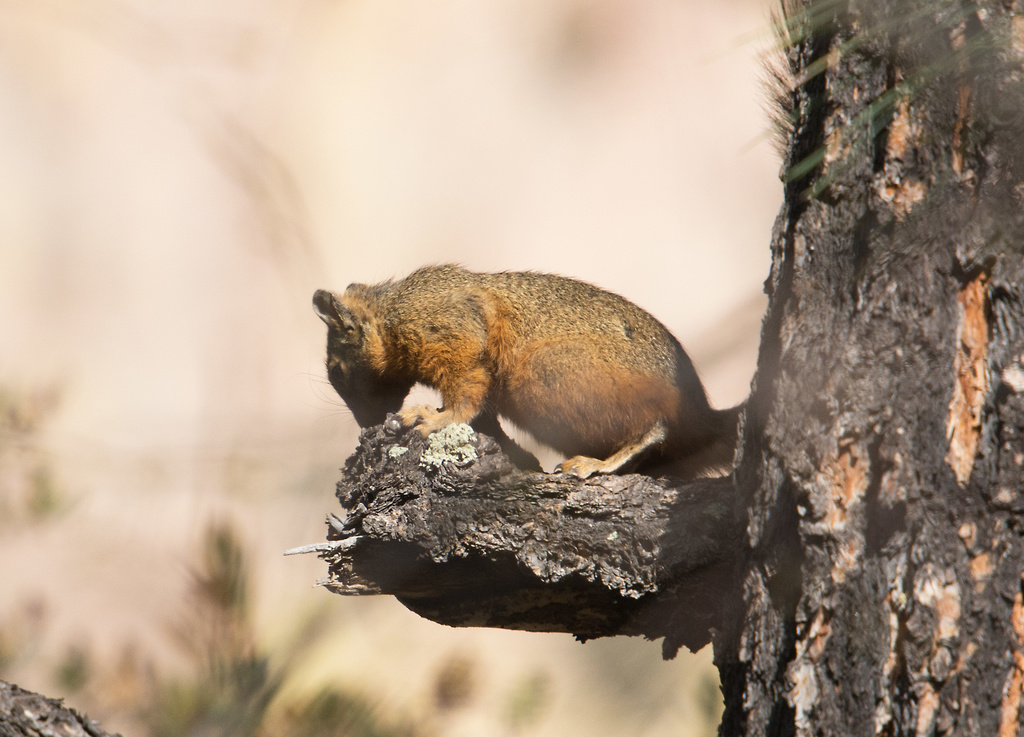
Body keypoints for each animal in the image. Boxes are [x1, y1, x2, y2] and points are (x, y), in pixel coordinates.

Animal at [313, 265, 741, 479]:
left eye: (336, 371)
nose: (366, 423)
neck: (391, 315)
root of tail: (701, 416)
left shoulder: (453, 332)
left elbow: (465, 394)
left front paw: (433, 418)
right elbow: (486, 416)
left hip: (548, 371)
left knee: (655, 427)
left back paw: (600, 463)